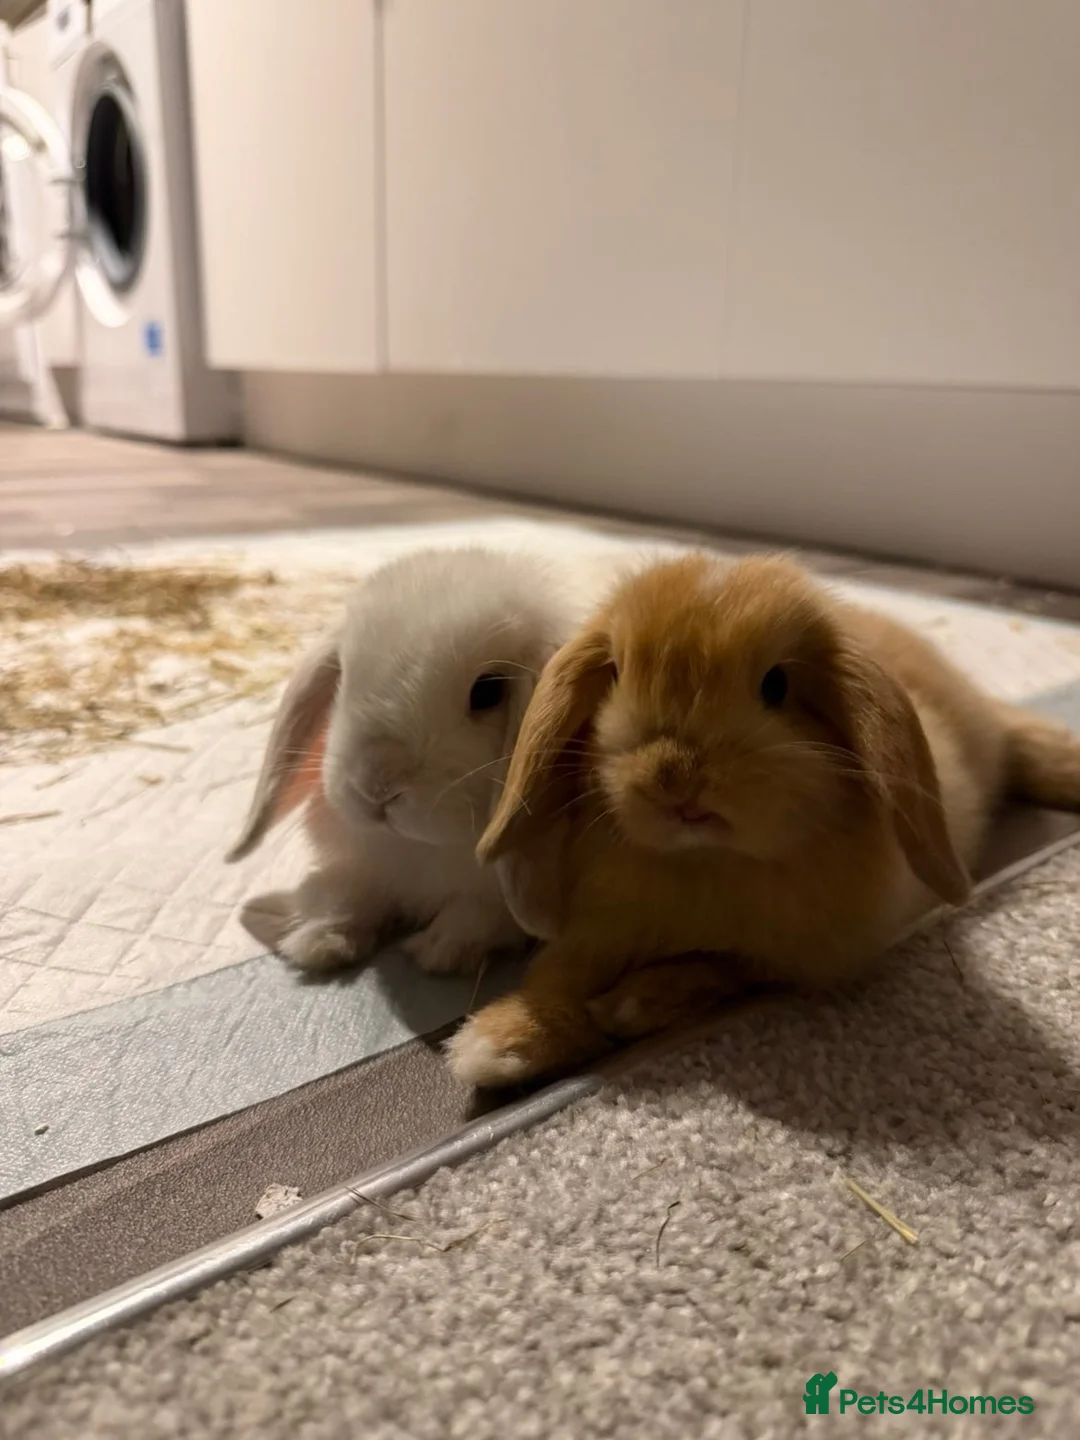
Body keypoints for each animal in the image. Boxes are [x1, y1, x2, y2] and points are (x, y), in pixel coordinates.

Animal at [227, 544, 630, 976]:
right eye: (343, 677)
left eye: (488, 691)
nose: (376, 785)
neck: (419, 848)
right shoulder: (366, 867)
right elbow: (349, 893)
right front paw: (318, 940)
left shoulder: (500, 897)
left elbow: (480, 914)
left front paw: (439, 950)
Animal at [448, 551, 1080, 1087]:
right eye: (618, 673)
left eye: (776, 685)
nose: (675, 777)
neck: (701, 859)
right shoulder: (595, 931)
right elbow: (554, 974)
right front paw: (499, 1045)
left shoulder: (787, 957)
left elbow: (716, 967)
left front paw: (632, 1006)